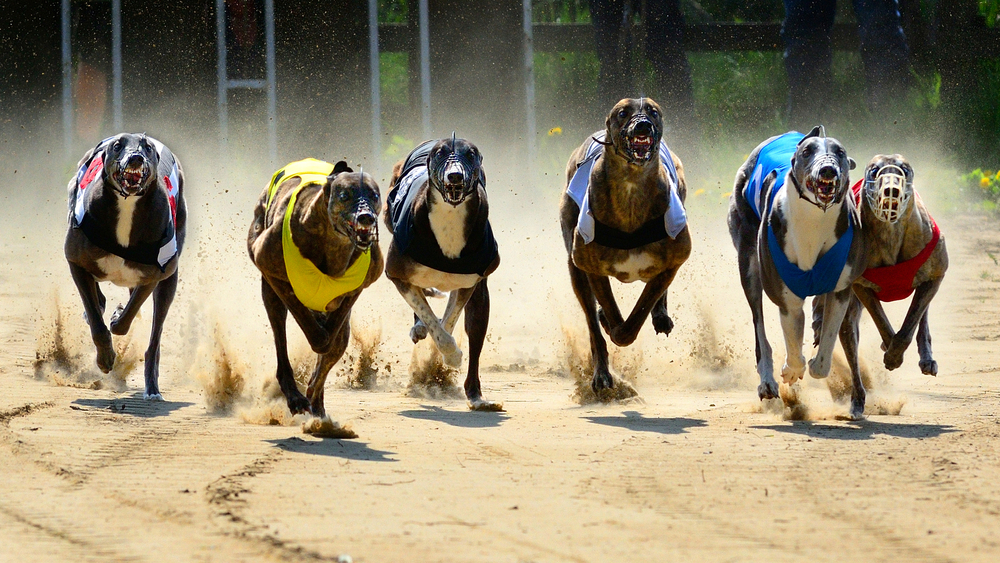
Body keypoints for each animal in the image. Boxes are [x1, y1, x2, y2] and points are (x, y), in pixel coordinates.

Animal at [64, 133, 186, 400]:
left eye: (146, 147)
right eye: (118, 145)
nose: (135, 158)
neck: (127, 206)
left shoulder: (153, 276)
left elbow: (125, 319)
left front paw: (118, 315)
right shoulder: (75, 262)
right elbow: (97, 322)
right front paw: (105, 359)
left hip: (169, 281)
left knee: (154, 339)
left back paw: (152, 388)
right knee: (97, 300)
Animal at [249, 158, 382, 414]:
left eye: (374, 195)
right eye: (345, 195)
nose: (366, 217)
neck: (332, 242)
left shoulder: (358, 288)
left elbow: (331, 337)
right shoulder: (271, 269)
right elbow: (315, 332)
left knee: (334, 346)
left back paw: (316, 403)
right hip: (269, 294)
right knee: (281, 340)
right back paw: (295, 397)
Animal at [386, 135, 504, 412]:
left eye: (471, 154)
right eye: (440, 154)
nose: (455, 176)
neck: (450, 218)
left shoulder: (472, 283)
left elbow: (449, 321)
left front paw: (451, 356)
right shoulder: (396, 274)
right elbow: (429, 316)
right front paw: (448, 351)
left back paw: (476, 396)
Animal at [560, 97, 692, 394]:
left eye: (653, 111)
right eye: (622, 113)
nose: (643, 124)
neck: (631, 185)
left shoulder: (673, 261)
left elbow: (638, 313)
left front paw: (630, 322)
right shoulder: (590, 267)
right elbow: (607, 316)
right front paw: (608, 324)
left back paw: (660, 316)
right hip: (574, 264)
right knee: (591, 322)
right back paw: (601, 371)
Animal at [728, 126, 868, 410]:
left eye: (840, 152)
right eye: (807, 152)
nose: (828, 170)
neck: (813, 221)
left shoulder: (840, 289)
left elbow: (824, 354)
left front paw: (815, 361)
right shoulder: (787, 298)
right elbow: (793, 348)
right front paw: (790, 372)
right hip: (748, 263)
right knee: (759, 327)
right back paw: (767, 381)